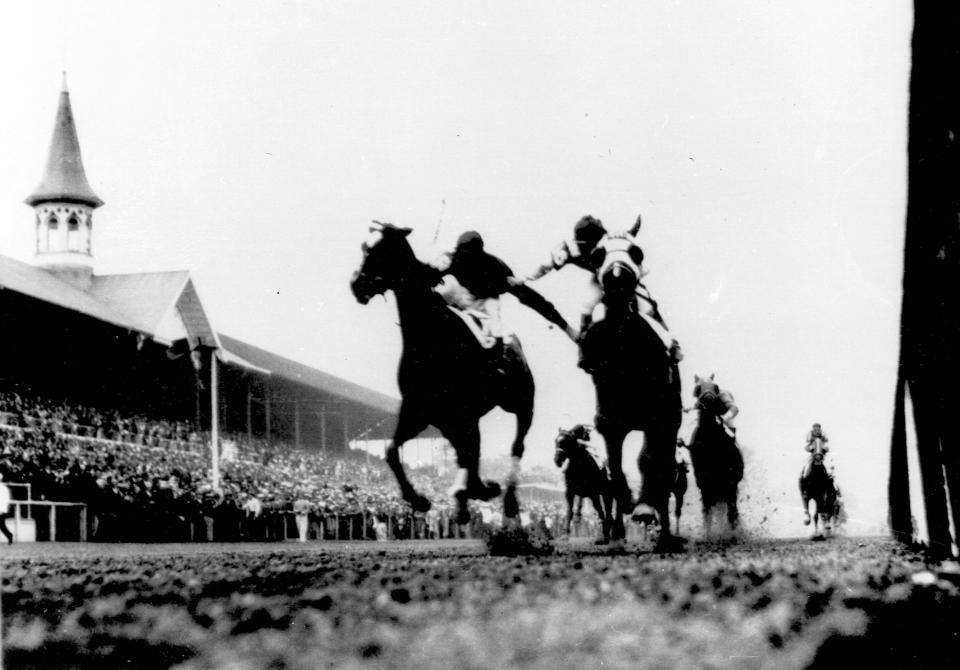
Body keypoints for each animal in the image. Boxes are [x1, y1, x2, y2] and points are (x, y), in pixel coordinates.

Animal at [348, 223, 536, 528]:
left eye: (380, 251)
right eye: (365, 248)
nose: (357, 285)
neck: (429, 337)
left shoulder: (460, 411)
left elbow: (472, 453)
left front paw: (466, 495)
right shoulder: (418, 411)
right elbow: (391, 451)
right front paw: (419, 499)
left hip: (521, 405)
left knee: (515, 447)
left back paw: (506, 501)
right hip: (452, 421)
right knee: (469, 451)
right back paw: (476, 492)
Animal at [576, 232, 684, 552]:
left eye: (637, 251)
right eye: (597, 254)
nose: (617, 277)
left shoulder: (658, 416)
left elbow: (650, 462)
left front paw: (645, 508)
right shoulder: (610, 419)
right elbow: (614, 469)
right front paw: (625, 502)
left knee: (660, 466)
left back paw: (663, 532)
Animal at [688, 378, 748, 536]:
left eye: (716, 387)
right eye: (698, 388)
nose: (708, 399)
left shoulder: (731, 483)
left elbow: (731, 513)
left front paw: (733, 533)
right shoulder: (705, 484)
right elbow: (707, 513)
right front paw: (707, 534)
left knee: (730, 511)